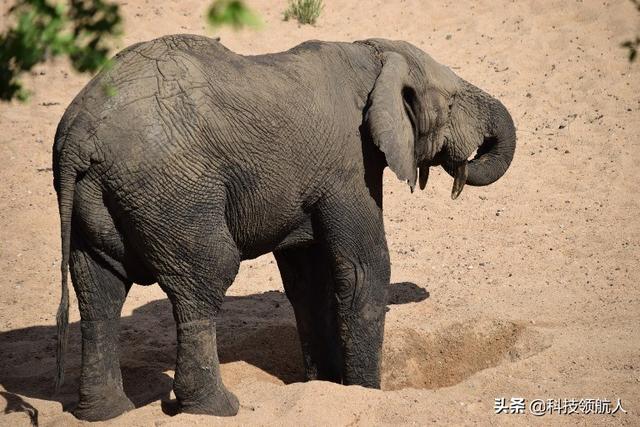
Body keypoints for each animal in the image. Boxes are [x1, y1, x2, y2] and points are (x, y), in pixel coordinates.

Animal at [52, 34, 516, 422]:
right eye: (453, 102)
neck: (373, 54)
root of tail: (78, 138)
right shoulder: (350, 163)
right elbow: (364, 270)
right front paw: (364, 392)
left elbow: (309, 280)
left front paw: (326, 385)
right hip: (173, 194)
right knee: (204, 278)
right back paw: (217, 408)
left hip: (100, 201)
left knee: (99, 294)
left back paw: (105, 412)